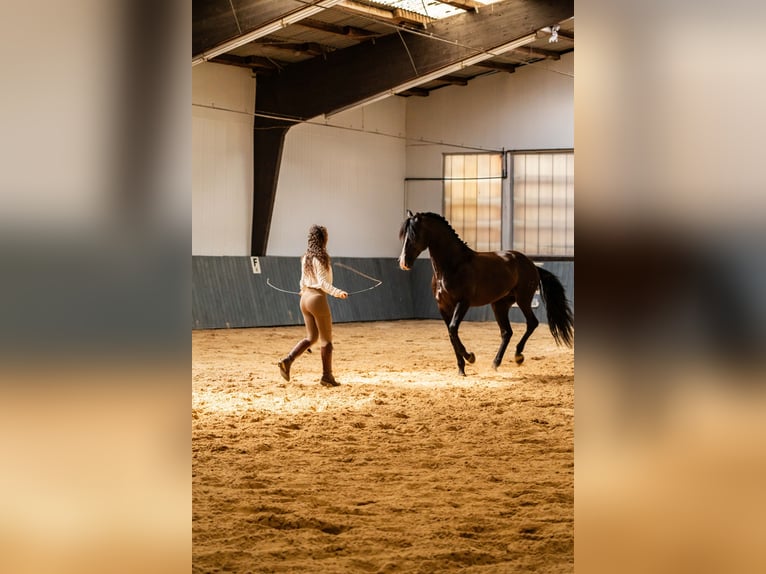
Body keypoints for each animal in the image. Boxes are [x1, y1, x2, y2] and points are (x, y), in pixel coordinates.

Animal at [400, 212, 572, 378]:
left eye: (414, 235)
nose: (403, 262)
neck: (453, 266)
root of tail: (532, 265)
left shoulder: (463, 303)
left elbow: (453, 329)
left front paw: (470, 357)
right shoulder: (443, 307)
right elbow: (451, 333)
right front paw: (461, 369)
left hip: (523, 300)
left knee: (532, 323)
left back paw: (518, 356)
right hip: (500, 305)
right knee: (507, 332)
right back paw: (495, 363)